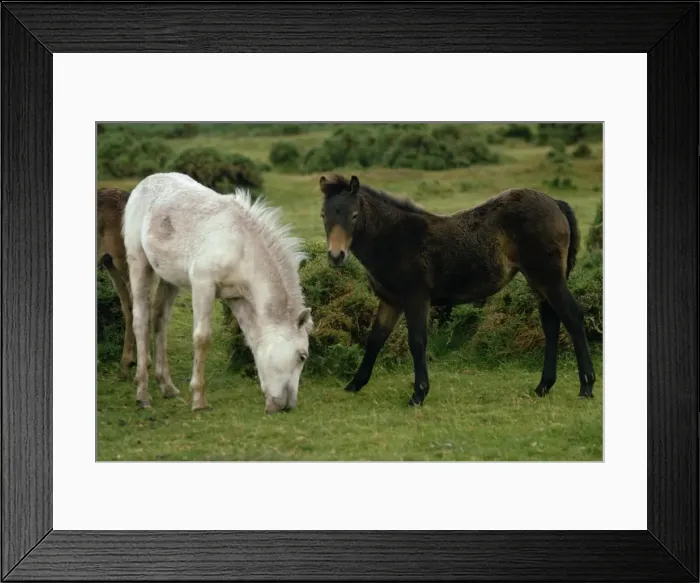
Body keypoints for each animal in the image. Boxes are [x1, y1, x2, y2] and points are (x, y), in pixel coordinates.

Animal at [123, 172, 314, 413]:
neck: (241, 246)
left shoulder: (237, 299)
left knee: (159, 320)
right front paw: (199, 399)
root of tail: (144, 183)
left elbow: (253, 340)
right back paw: (142, 393)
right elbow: (202, 338)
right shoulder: (203, 285)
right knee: (140, 321)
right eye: (302, 357)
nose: (287, 406)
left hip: (169, 279)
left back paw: (166, 386)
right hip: (139, 264)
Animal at [318, 174, 595, 407]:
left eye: (354, 215)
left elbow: (417, 341)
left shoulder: (416, 297)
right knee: (551, 324)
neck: (394, 239)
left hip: (549, 279)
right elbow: (375, 339)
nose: (336, 256)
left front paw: (418, 394)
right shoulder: (391, 301)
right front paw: (354, 384)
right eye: (323, 215)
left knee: (572, 318)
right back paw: (543, 386)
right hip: (538, 282)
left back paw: (586, 387)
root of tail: (555, 203)